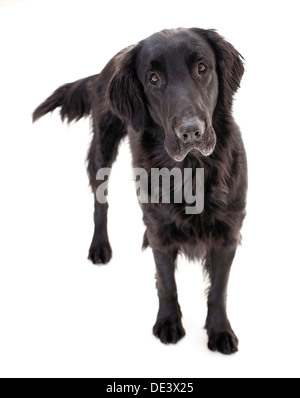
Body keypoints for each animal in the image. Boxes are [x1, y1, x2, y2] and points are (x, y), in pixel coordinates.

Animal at [33, 28, 248, 352]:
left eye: (202, 68)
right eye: (154, 78)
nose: (191, 132)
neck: (190, 169)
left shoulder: (228, 231)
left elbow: (218, 289)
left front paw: (220, 330)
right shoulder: (159, 229)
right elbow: (166, 282)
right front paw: (168, 322)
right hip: (103, 148)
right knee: (100, 204)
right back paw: (100, 246)